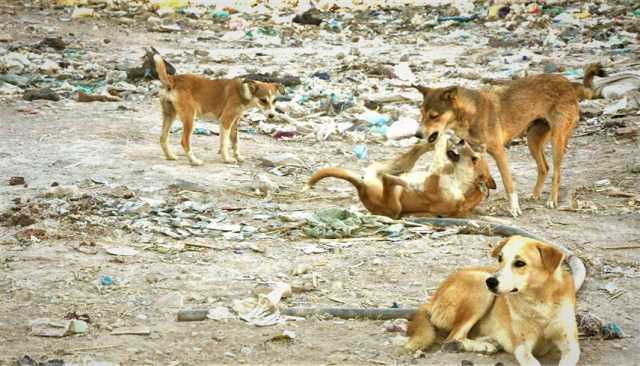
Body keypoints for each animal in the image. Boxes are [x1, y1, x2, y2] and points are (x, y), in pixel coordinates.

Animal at [304, 130, 496, 219]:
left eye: (474, 159)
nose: (462, 140)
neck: (459, 183)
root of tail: (362, 187)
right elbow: (440, 161)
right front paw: (441, 138)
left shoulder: (433, 178)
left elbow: (439, 163)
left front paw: (442, 139)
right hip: (390, 168)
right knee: (406, 160)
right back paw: (425, 144)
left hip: (394, 206)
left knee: (390, 182)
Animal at [408, 234, 584, 366]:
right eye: (500, 258)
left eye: (520, 263)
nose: (491, 282)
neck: (538, 302)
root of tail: (433, 298)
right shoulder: (522, 345)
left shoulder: (570, 343)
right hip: (480, 286)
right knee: (453, 337)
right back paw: (483, 346)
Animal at [412, 63, 604, 217]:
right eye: (422, 114)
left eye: (434, 116)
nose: (417, 134)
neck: (471, 114)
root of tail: (568, 83)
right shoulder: (477, 151)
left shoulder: (499, 152)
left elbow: (508, 183)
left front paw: (514, 208)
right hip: (533, 140)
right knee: (544, 167)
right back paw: (535, 194)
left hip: (557, 139)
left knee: (556, 172)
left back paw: (552, 200)